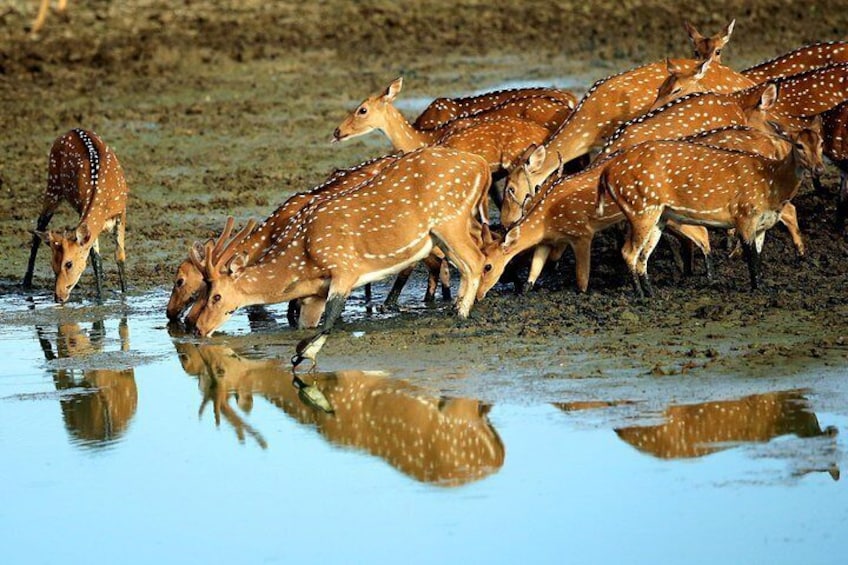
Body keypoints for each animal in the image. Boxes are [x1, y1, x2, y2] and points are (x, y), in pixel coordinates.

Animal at [24, 129, 129, 304]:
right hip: (53, 185)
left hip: (53, 186)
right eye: (52, 265)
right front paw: (101, 299)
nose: (58, 296)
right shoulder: (83, 212)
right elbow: (96, 261)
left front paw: (125, 293)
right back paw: (26, 282)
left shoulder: (122, 213)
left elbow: (119, 255)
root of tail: (69, 131)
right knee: (40, 225)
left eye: (68, 264)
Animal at [189, 145, 486, 354]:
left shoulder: (344, 268)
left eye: (215, 295)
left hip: (450, 221)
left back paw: (460, 316)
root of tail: (480, 166)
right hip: (442, 234)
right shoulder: (313, 295)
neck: (302, 262)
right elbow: (306, 323)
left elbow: (329, 321)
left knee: (476, 261)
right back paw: (455, 308)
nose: (198, 328)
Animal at [480, 150, 712, 300]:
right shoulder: (548, 241)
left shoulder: (581, 234)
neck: (547, 220)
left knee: (700, 231)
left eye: (488, 266)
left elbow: (582, 279)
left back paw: (707, 275)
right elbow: (534, 271)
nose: (480, 295)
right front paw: (524, 291)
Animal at [600, 119, 824, 296]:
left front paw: (762, 285)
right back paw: (639, 295)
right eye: (799, 145)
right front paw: (757, 289)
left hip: (658, 217)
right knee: (628, 252)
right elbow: (751, 257)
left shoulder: (762, 225)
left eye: (821, 142)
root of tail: (606, 172)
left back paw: (652, 293)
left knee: (643, 255)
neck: (771, 184)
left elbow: (758, 255)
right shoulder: (744, 215)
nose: (819, 168)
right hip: (640, 207)